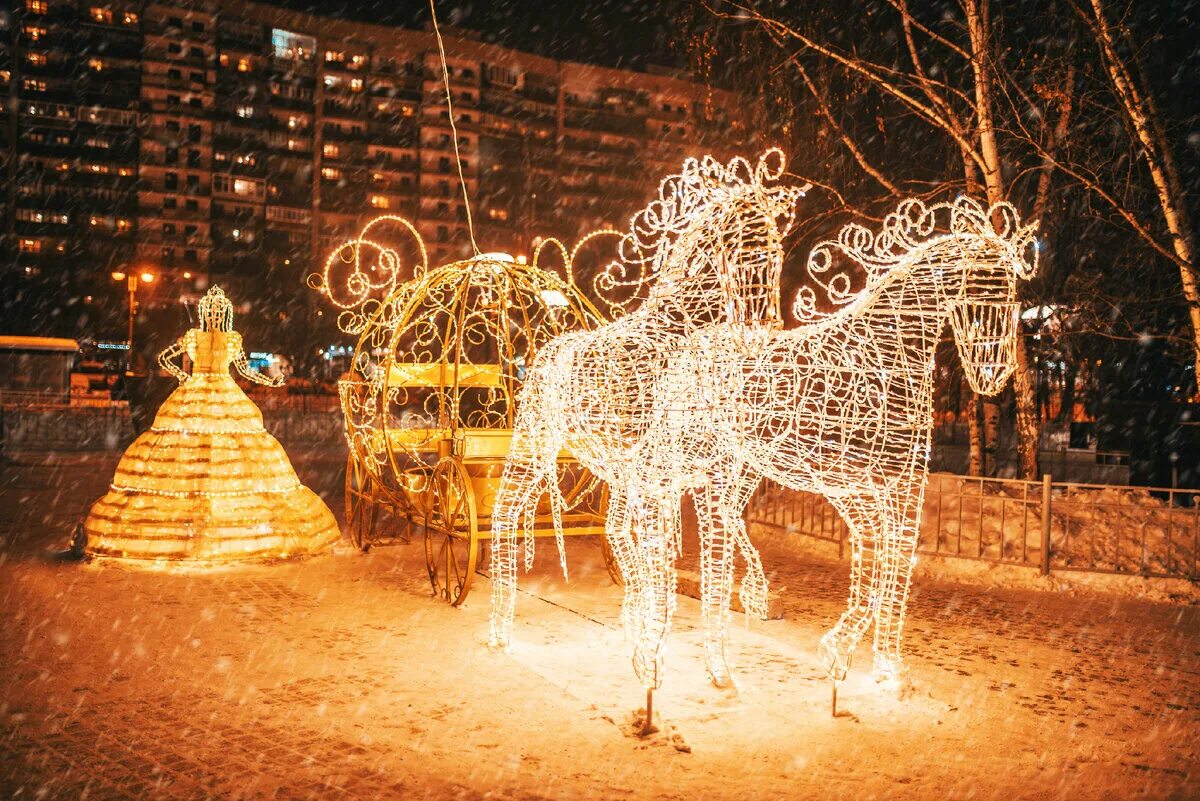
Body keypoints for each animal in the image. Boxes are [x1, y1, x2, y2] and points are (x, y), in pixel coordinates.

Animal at [487, 151, 806, 690]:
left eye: (777, 246)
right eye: (747, 244)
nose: (765, 325)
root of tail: (547, 349)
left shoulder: (711, 480)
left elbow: (714, 573)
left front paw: (717, 671)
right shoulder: (659, 481)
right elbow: (663, 575)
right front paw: (650, 663)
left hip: (615, 474)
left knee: (615, 532)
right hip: (535, 447)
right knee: (505, 512)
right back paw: (498, 632)